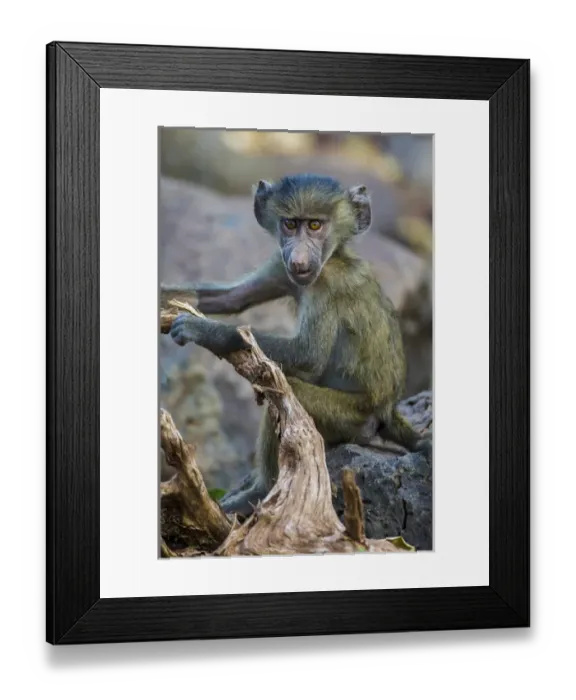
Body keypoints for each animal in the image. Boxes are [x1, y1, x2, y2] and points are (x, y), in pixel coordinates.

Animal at [162, 174, 429, 515]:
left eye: (315, 225)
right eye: (290, 224)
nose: (300, 259)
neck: (333, 258)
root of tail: (387, 410)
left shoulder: (327, 285)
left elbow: (307, 356)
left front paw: (200, 329)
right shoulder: (282, 265)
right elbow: (229, 298)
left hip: (353, 419)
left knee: (288, 391)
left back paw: (259, 492)